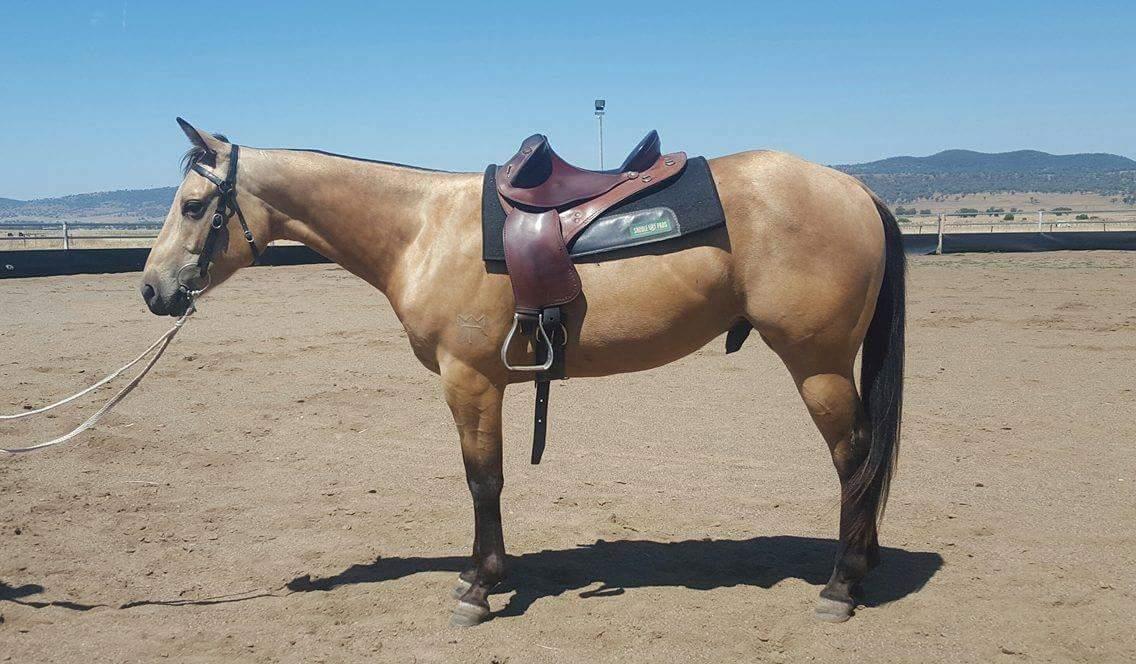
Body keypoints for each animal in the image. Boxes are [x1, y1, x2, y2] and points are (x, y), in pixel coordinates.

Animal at [141, 119, 905, 627]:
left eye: (192, 205)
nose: (153, 290)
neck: (421, 231)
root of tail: (855, 190)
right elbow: (488, 480)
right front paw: (481, 575)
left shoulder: (469, 380)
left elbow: (483, 480)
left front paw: (479, 588)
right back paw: (860, 568)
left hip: (817, 363)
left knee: (855, 458)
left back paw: (841, 587)